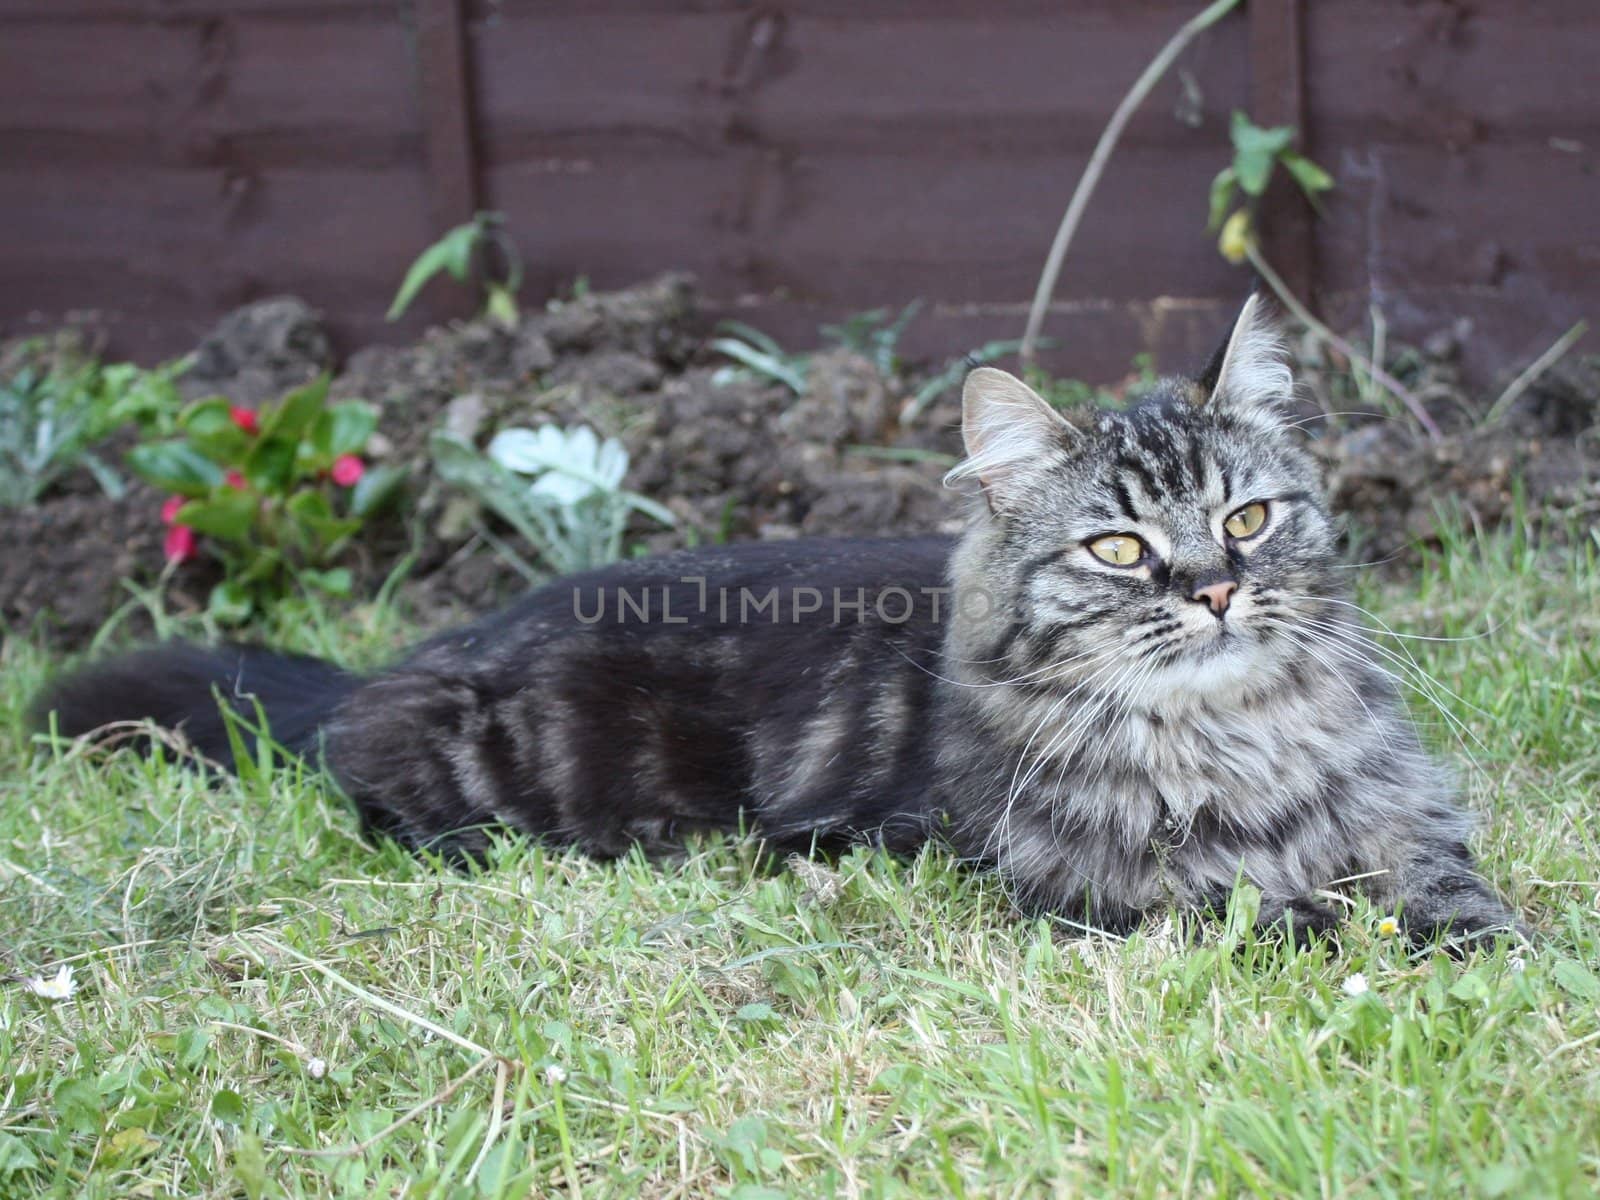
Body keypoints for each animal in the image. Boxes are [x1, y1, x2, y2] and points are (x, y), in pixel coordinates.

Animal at [31, 296, 1516, 947]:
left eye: (1248, 519)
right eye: (1119, 547)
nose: (1211, 587)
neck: (1238, 739)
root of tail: (394, 661)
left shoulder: (1407, 813)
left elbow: (1451, 893)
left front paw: (1490, 955)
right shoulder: (1086, 891)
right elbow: (1270, 913)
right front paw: (1343, 933)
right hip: (474, 771)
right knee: (382, 802)